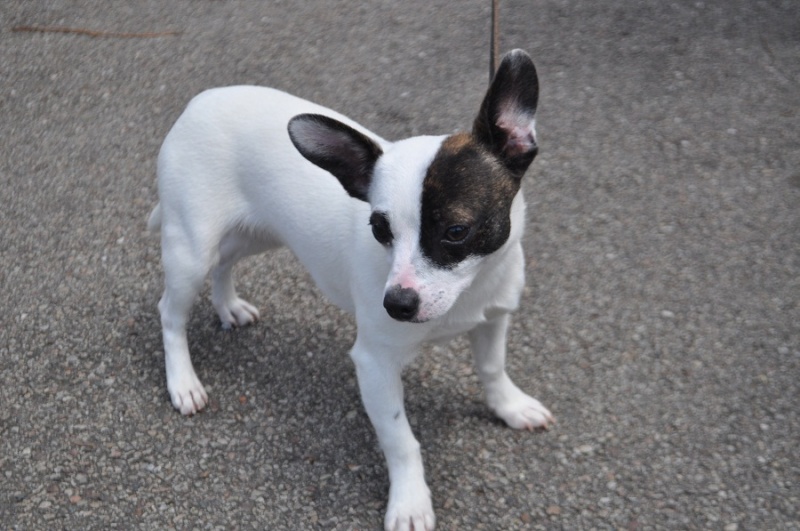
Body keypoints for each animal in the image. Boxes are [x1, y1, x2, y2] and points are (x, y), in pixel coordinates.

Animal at [148, 50, 552, 531]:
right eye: (379, 229)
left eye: (457, 231)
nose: (396, 304)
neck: (470, 291)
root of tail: (202, 100)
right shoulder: (375, 364)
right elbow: (400, 439)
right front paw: (410, 501)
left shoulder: (492, 321)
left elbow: (493, 369)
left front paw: (508, 406)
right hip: (190, 250)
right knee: (171, 313)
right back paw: (183, 381)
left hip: (257, 233)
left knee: (225, 261)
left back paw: (228, 305)